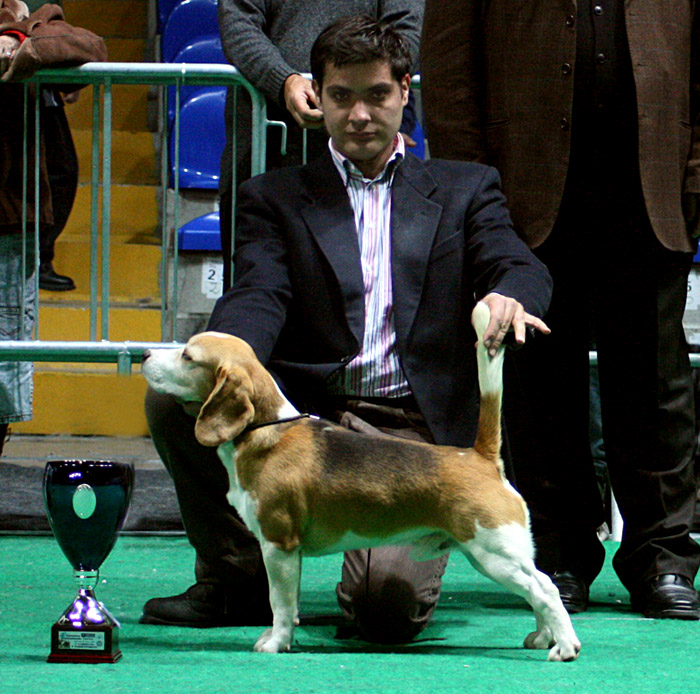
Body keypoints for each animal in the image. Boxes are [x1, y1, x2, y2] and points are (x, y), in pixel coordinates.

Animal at [141, 304, 580, 664]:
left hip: (493, 552)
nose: (144, 355)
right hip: (501, 554)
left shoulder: (278, 544)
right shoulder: (288, 553)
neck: (265, 429)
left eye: (188, 355)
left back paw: (564, 647)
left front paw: (275, 643)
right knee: (537, 586)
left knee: (546, 590)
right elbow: (290, 602)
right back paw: (542, 637)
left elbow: (279, 601)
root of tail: (480, 457)